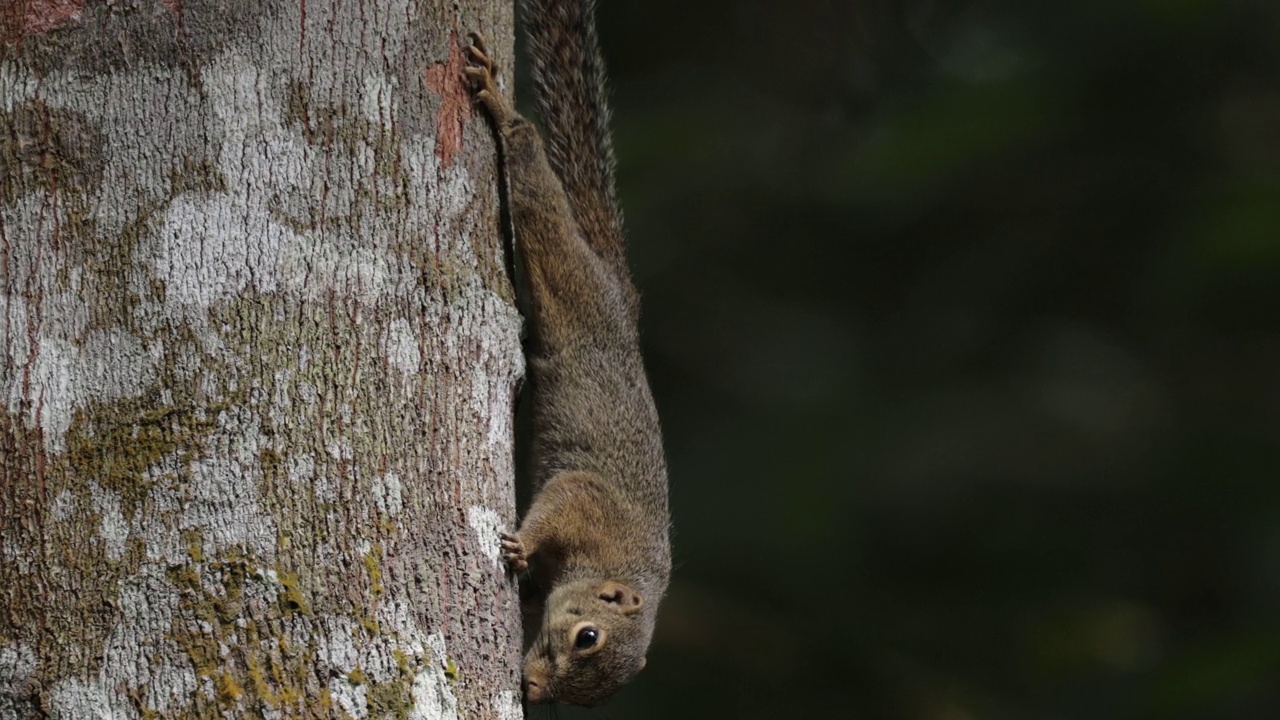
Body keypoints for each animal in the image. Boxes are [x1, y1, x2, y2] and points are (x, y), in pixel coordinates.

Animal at [465, 0, 675, 707]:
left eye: (590, 699)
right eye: (587, 636)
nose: (531, 689)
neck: (617, 563)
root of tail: (621, 295)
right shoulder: (590, 503)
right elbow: (563, 495)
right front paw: (521, 545)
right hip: (574, 284)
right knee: (538, 198)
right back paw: (504, 111)